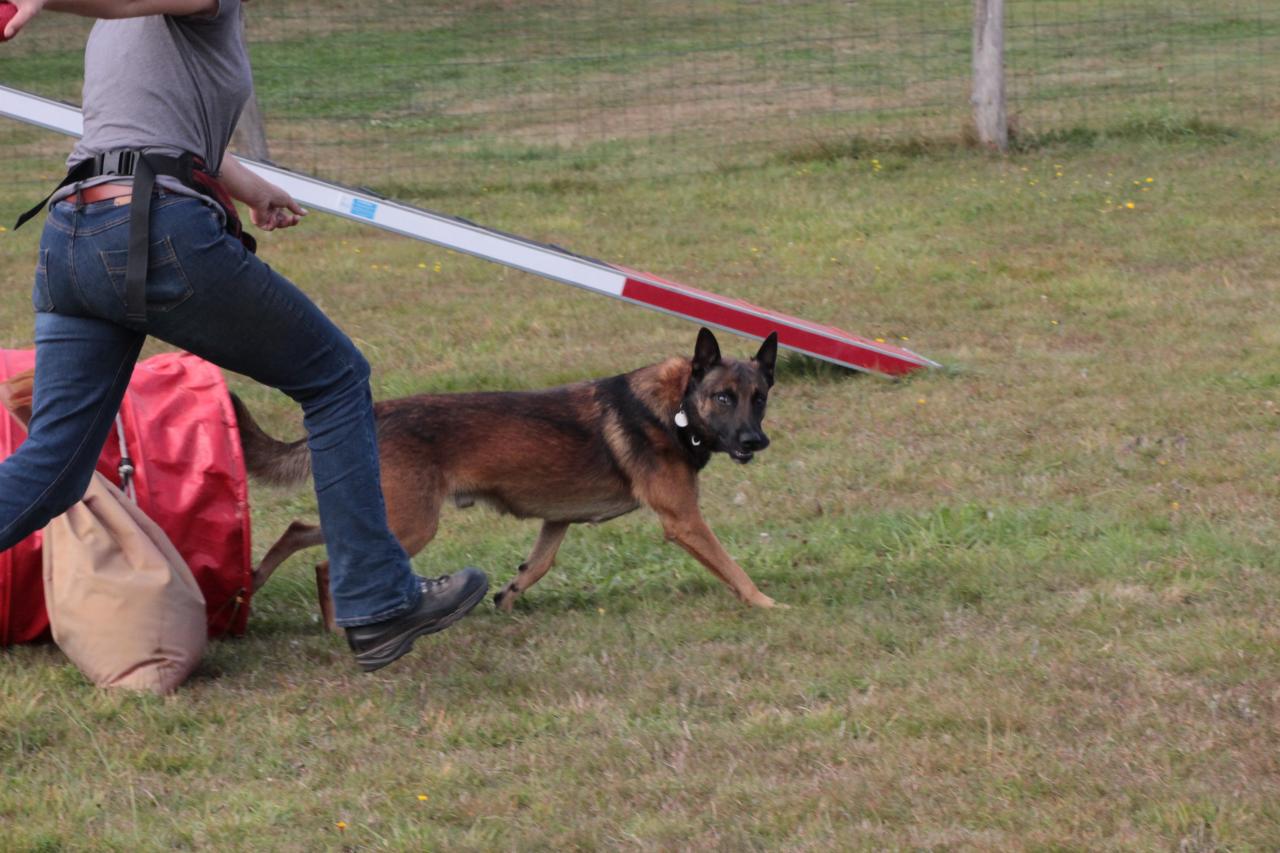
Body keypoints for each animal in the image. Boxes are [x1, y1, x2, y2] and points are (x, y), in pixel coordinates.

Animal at [235, 325, 783, 617]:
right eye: (723, 398)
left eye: (759, 398)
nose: (755, 441)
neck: (677, 408)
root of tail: (374, 412)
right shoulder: (684, 521)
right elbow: (731, 565)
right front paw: (765, 602)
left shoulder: (557, 518)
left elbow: (538, 563)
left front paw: (507, 597)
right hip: (410, 524)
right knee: (330, 564)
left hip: (383, 513)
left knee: (300, 531)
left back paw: (256, 581)